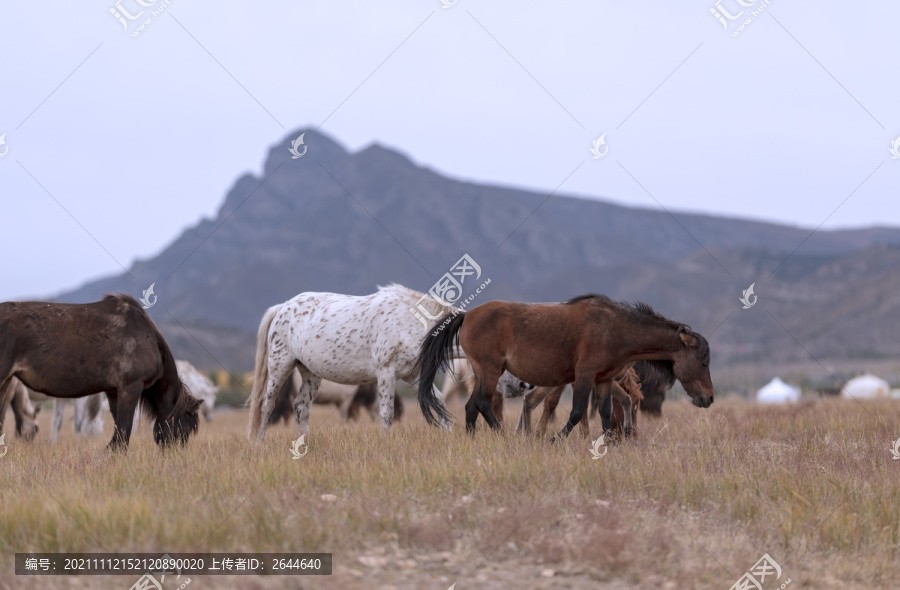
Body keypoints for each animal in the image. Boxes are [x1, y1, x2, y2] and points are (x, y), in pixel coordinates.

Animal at [0, 294, 200, 450]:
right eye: (187, 426)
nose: (176, 453)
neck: (150, 339)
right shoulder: (131, 387)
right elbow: (125, 427)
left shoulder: (113, 392)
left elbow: (118, 426)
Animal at [248, 284, 460, 442]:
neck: (411, 319)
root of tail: (280, 307)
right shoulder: (386, 373)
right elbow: (386, 413)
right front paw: (386, 444)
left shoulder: (411, 375)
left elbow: (439, 400)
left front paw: (448, 436)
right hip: (280, 367)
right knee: (266, 406)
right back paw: (259, 443)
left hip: (310, 373)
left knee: (301, 408)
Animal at [418, 294, 712, 440]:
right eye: (703, 361)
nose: (708, 398)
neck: (615, 328)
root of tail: (467, 315)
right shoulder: (583, 377)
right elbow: (577, 412)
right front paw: (555, 439)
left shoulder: (603, 380)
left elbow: (605, 412)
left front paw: (608, 442)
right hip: (490, 372)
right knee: (481, 403)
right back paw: (504, 438)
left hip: (483, 373)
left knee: (471, 407)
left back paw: (473, 441)